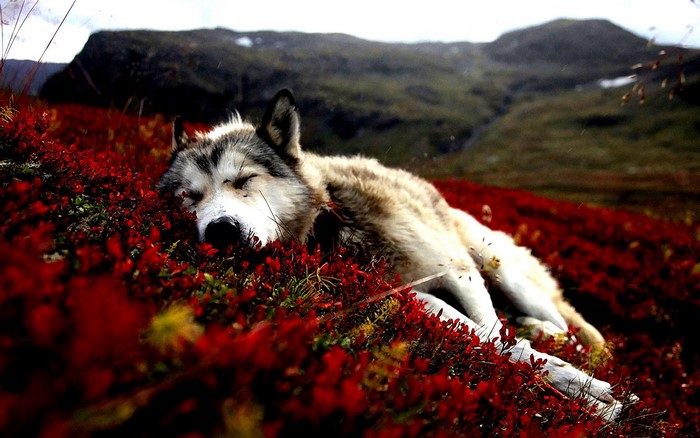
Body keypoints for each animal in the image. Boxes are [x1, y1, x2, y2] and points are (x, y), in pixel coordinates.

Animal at [158, 89, 630, 420]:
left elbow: (497, 336)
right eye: (190, 197)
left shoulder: (458, 272)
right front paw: (585, 394)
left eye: (244, 180)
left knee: (570, 328)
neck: (333, 221)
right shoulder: (407, 294)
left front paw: (587, 391)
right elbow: (490, 341)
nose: (220, 231)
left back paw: (557, 336)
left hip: (498, 268)